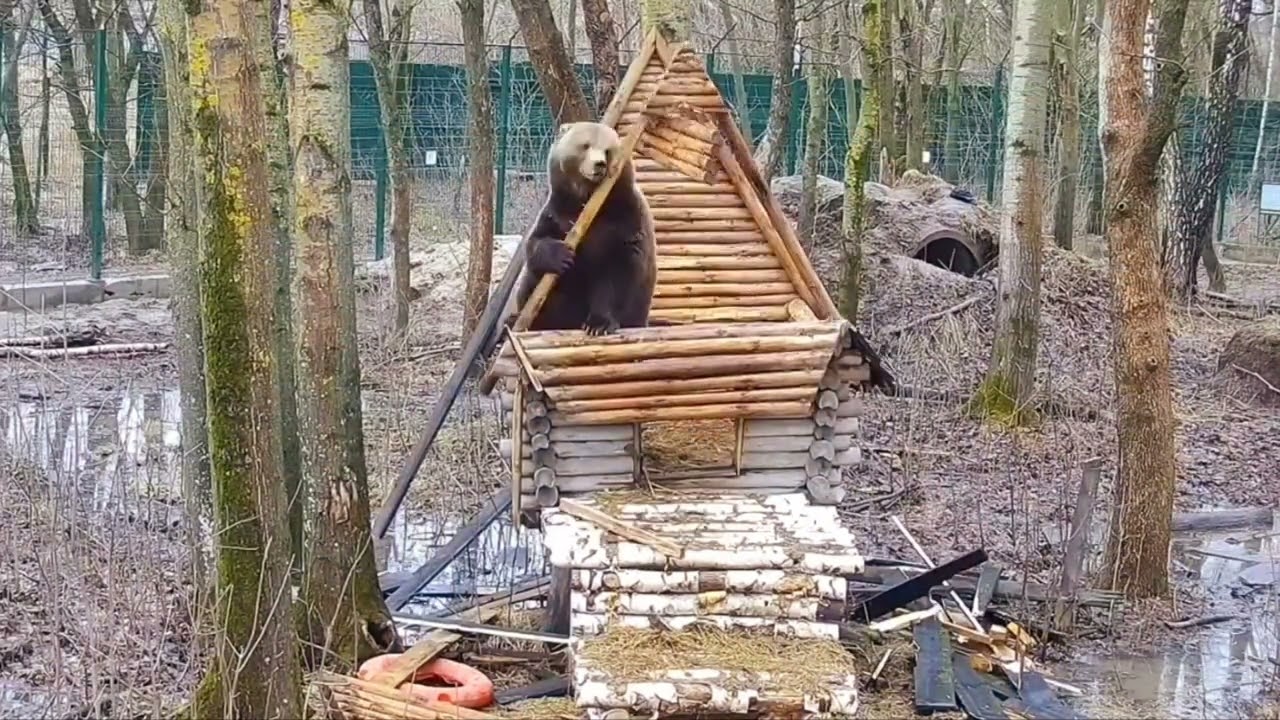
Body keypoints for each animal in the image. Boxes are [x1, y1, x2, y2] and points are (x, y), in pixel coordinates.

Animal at [513, 121, 657, 336]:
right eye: (585, 145)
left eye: (607, 150)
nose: (599, 164)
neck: (589, 201)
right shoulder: (560, 213)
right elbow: (537, 241)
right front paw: (561, 255)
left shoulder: (624, 221)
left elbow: (617, 273)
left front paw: (598, 324)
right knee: (531, 287)